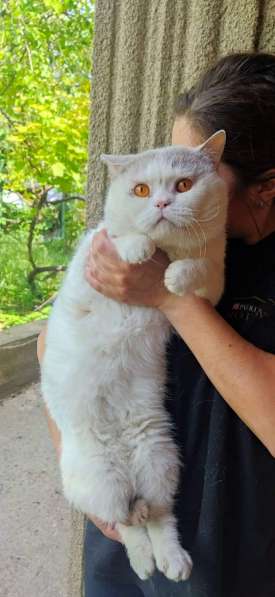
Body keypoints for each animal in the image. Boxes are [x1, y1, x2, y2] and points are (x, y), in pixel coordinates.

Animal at [41, 130, 229, 584]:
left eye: (183, 185)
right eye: (141, 190)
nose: (160, 204)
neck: (167, 251)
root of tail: (125, 465)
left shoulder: (213, 284)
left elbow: (196, 267)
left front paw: (174, 276)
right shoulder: (92, 251)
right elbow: (120, 235)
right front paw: (138, 250)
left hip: (161, 460)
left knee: (157, 518)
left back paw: (172, 562)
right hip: (103, 483)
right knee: (127, 523)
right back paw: (145, 563)